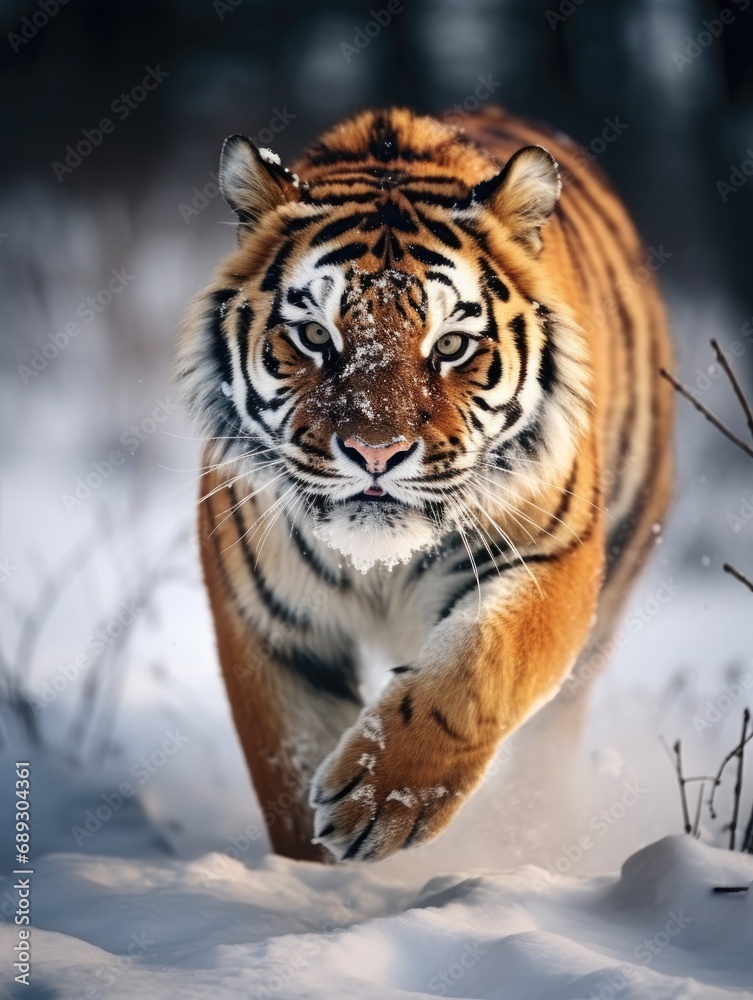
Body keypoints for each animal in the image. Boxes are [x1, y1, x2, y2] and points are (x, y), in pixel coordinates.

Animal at [176, 106, 673, 864]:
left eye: (450, 346)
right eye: (315, 337)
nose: (375, 453)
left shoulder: (554, 555)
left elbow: (483, 662)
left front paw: (381, 801)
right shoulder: (269, 627)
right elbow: (288, 763)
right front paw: (314, 879)